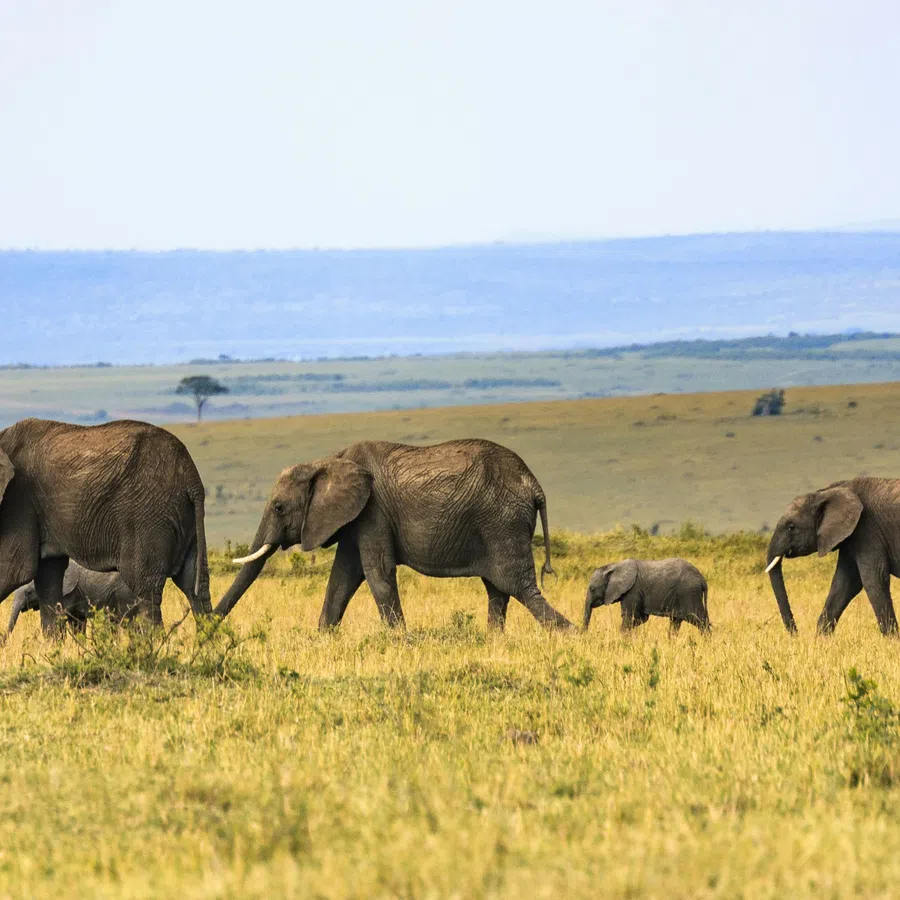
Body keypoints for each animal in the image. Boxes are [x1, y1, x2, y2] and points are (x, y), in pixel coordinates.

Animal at [215, 439, 574, 631]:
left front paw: (401, 640)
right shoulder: (356, 517)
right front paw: (321, 638)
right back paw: (492, 640)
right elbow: (342, 578)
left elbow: (378, 572)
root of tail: (534, 485)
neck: (329, 460)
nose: (208, 625)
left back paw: (571, 634)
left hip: (502, 522)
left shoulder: (373, 511)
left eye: (278, 507)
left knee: (518, 586)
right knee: (498, 590)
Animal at [765, 477, 900, 636]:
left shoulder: (867, 530)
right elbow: (844, 583)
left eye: (791, 527)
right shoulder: (850, 537)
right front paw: (820, 639)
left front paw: (892, 638)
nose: (796, 635)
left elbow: (874, 579)